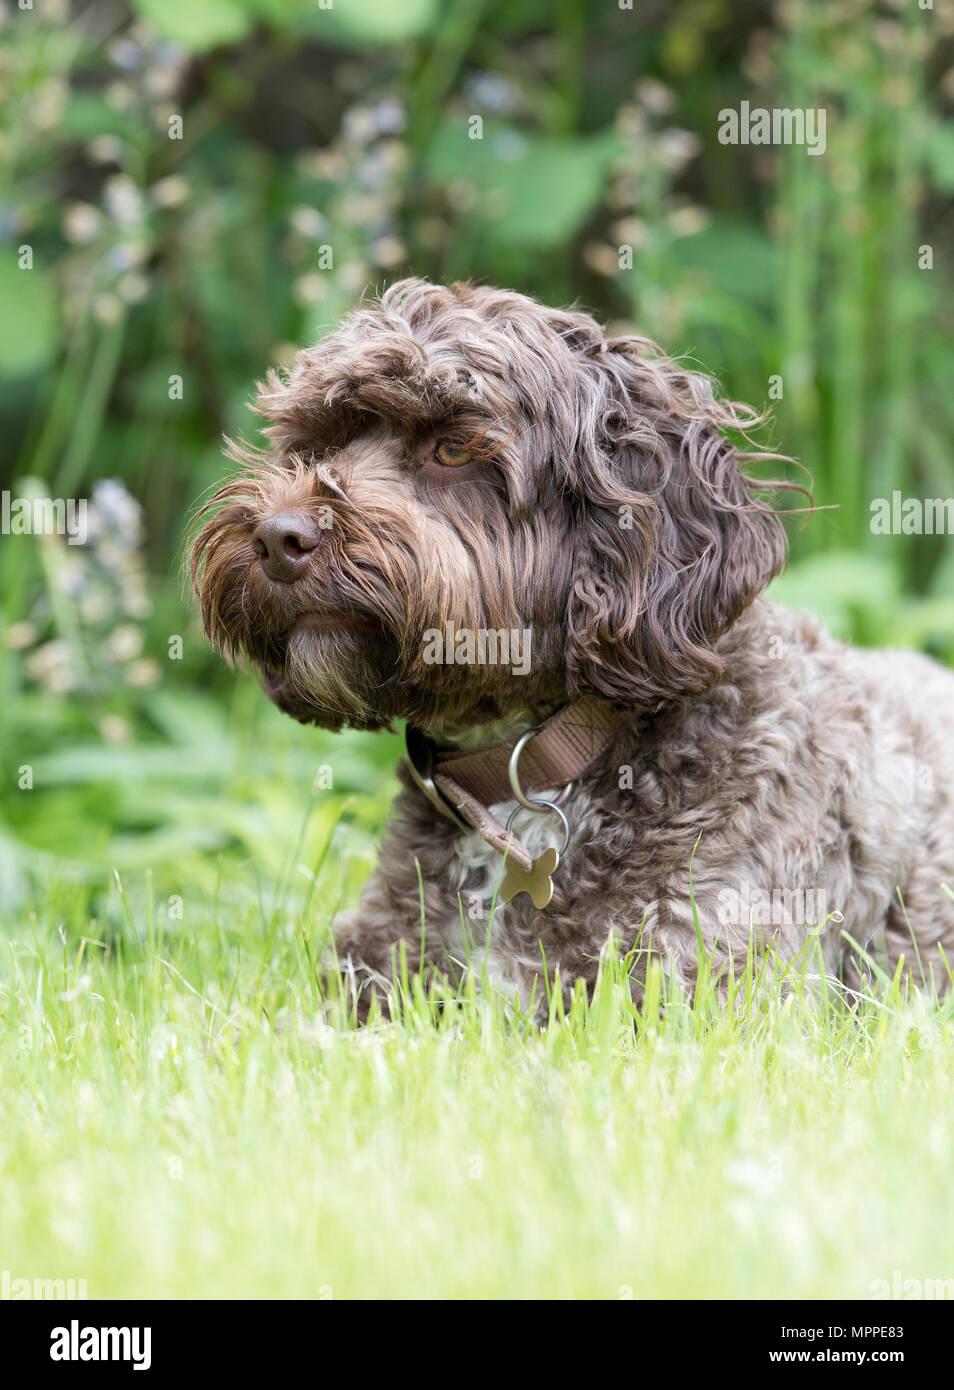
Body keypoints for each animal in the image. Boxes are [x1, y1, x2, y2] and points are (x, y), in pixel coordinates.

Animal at [190, 279, 954, 1023]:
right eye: (316, 446)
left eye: (453, 449)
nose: (278, 537)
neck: (524, 773)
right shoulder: (374, 973)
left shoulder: (715, 993)